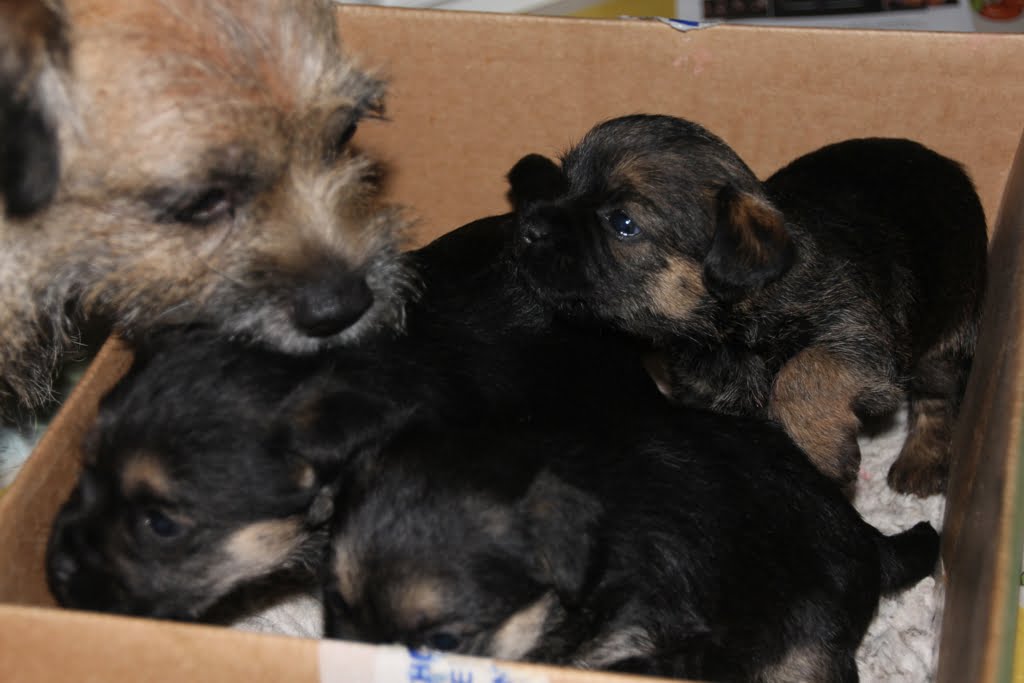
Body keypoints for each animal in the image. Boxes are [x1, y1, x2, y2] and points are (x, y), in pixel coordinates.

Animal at [509, 114, 988, 496]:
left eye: (623, 223)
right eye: (564, 184)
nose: (528, 229)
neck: (731, 324)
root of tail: (950, 167)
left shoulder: (860, 341)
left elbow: (805, 371)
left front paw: (819, 445)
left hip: (946, 336)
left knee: (936, 399)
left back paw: (921, 463)